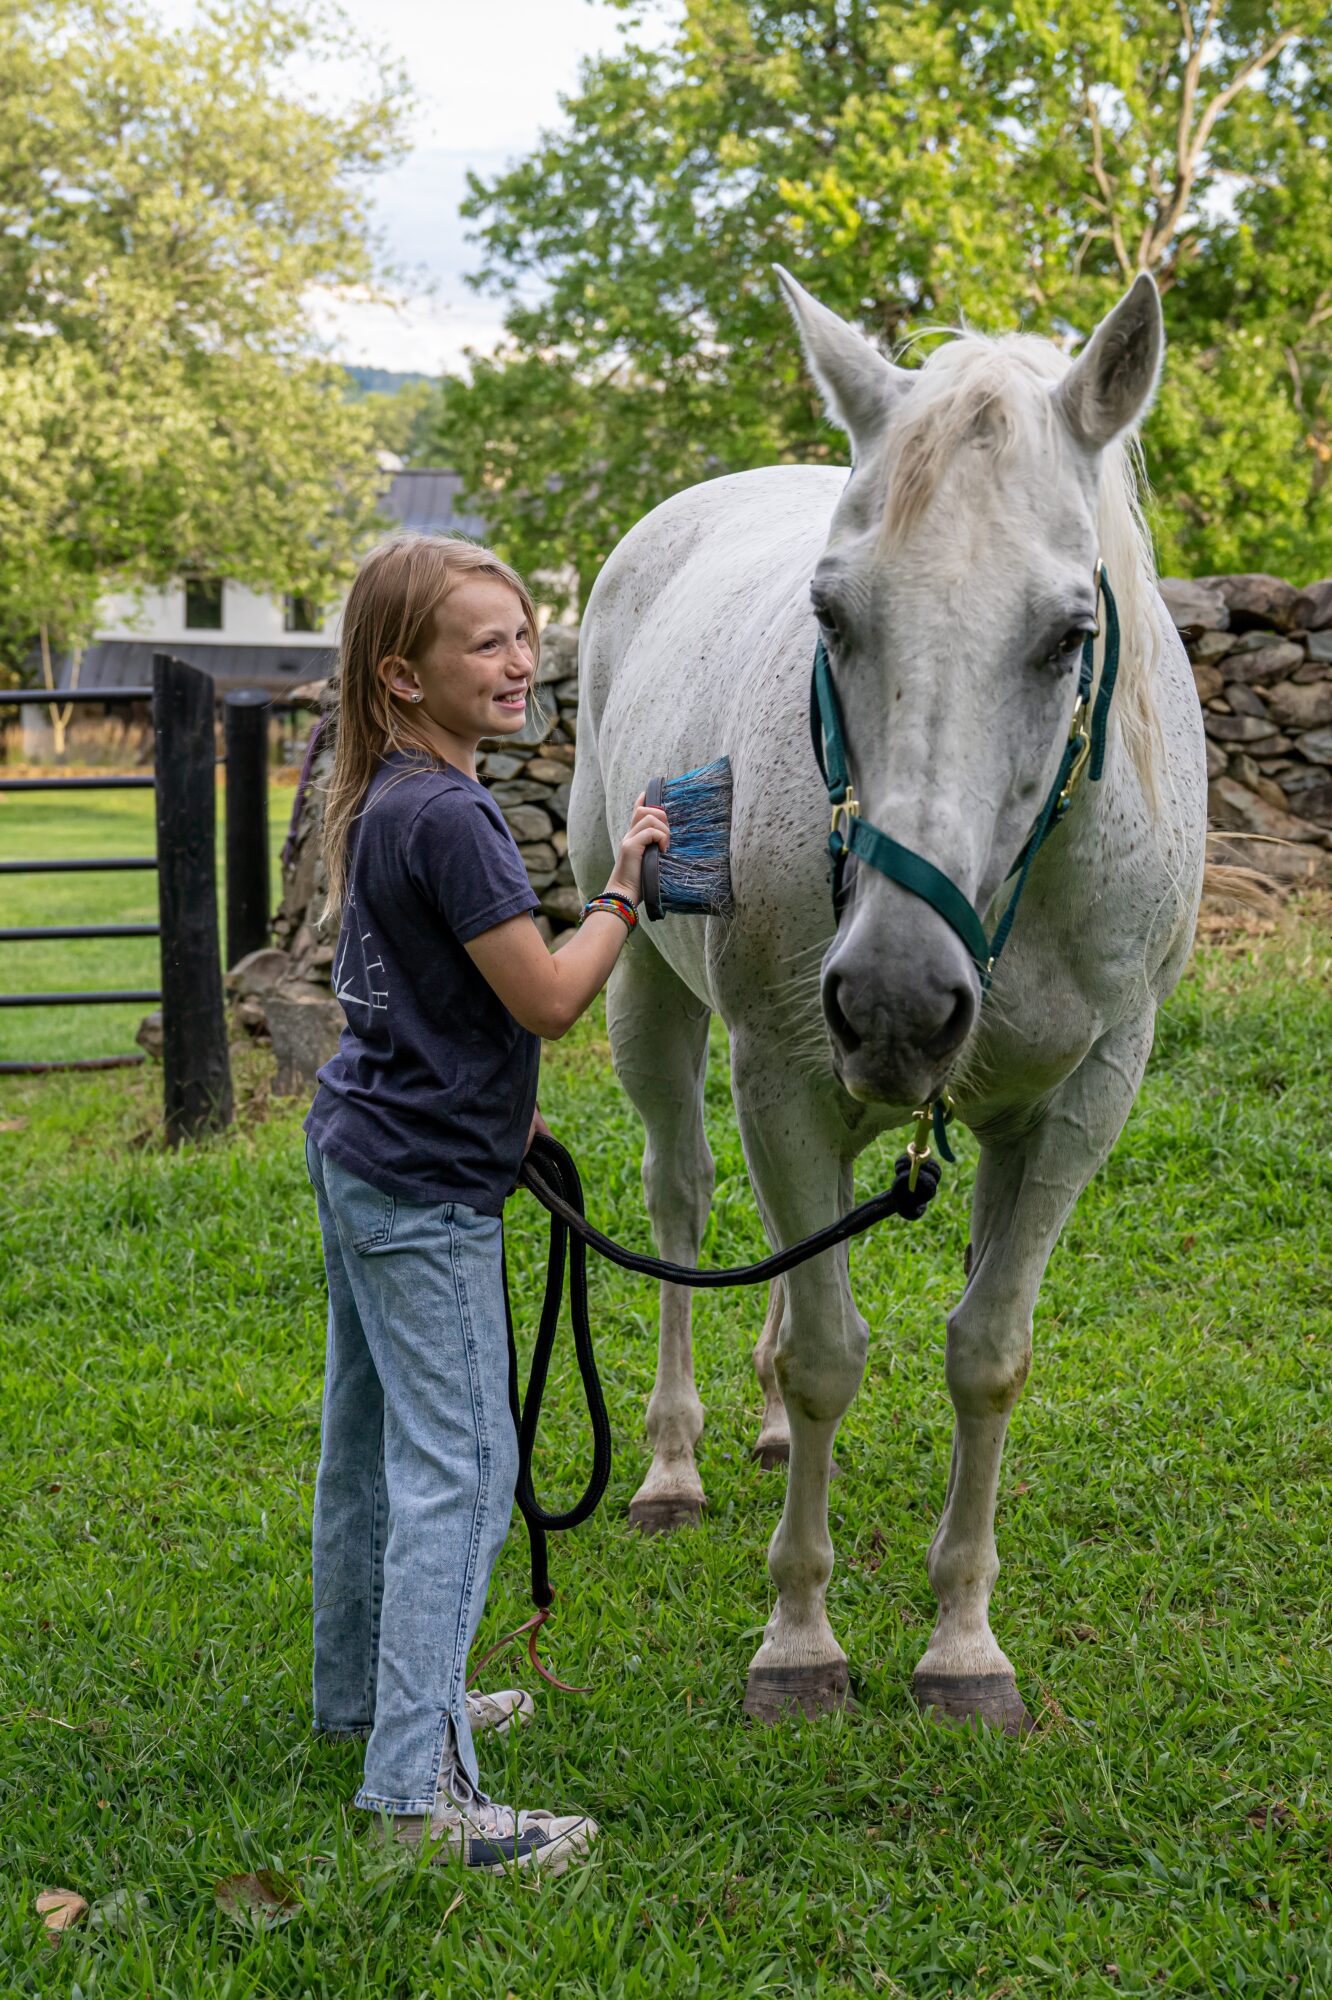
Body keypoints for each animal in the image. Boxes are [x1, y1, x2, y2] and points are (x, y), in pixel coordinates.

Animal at [567, 270, 1206, 1730]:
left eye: (1070, 635)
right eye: (834, 616)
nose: (899, 997)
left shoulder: (1082, 1101)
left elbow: (986, 1352)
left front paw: (962, 1641)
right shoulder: (784, 1073)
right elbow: (828, 1355)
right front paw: (798, 1640)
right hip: (649, 1000)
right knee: (684, 1201)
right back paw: (678, 1460)